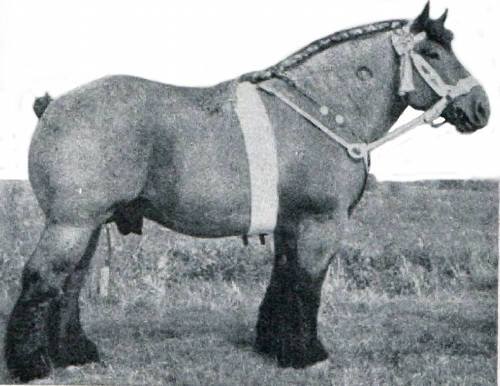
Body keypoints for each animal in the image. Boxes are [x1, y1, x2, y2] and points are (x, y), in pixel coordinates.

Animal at [3, 3, 490, 382]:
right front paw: (307, 354)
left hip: (86, 226)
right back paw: (32, 365)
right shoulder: (320, 223)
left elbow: (284, 279)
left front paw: (275, 344)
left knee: (70, 283)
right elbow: (307, 285)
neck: (322, 108)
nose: (481, 107)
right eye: (432, 52)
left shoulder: (291, 225)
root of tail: (53, 104)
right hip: (71, 224)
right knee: (42, 279)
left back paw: (74, 353)